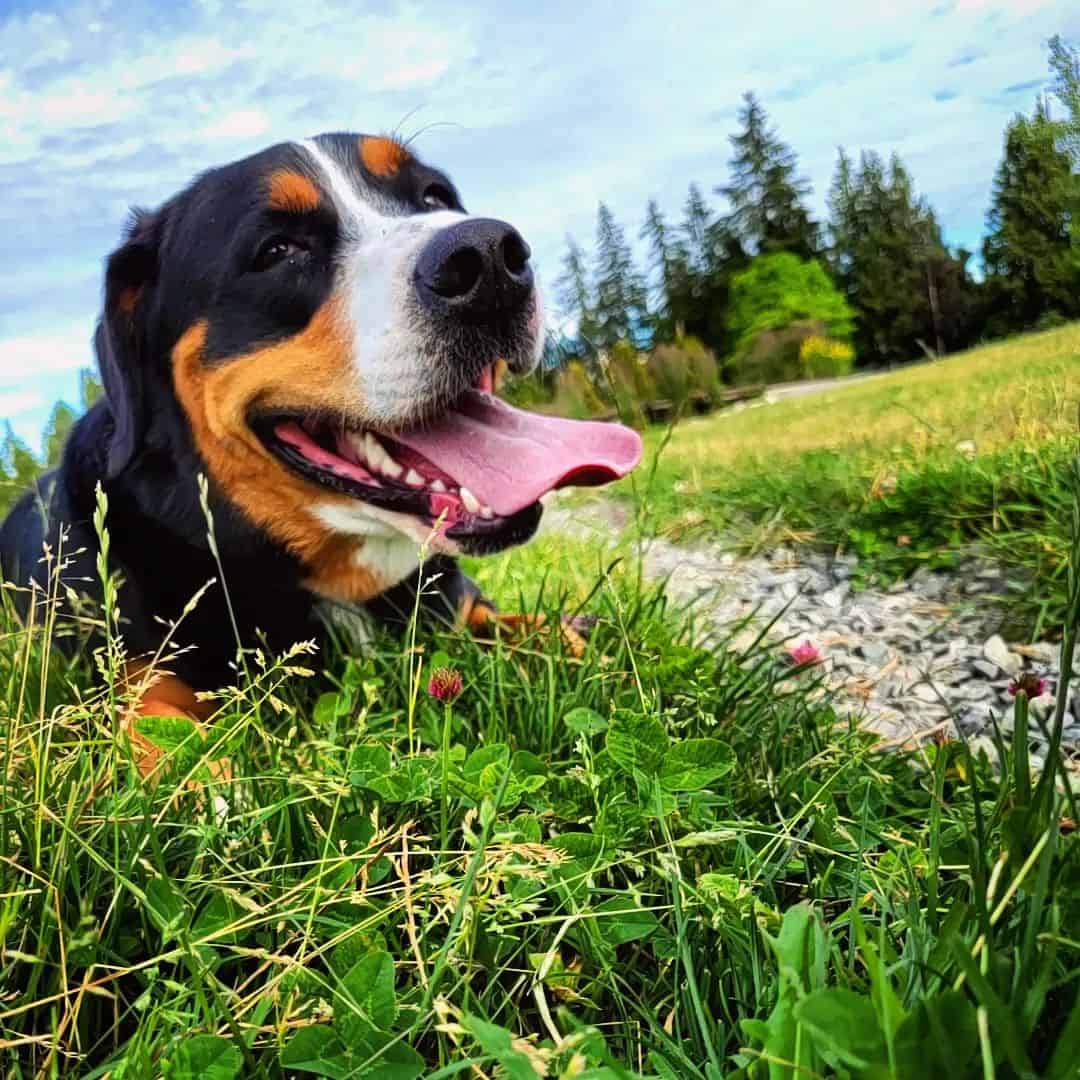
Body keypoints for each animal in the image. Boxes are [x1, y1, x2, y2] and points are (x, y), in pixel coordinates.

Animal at [0, 132, 639, 777]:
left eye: (434, 195)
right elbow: (175, 748)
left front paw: (581, 636)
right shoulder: (134, 681)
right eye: (277, 249)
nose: (487, 257)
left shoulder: (453, 604)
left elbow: (524, 625)